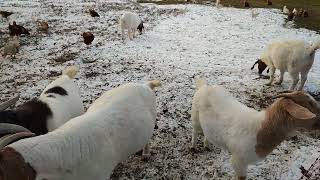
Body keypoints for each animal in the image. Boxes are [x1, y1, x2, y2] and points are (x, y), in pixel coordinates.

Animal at [191, 78, 320, 180]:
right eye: (309, 105)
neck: (260, 129)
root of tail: (204, 86)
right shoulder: (238, 161)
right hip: (195, 116)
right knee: (195, 131)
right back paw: (193, 147)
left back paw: (207, 145)